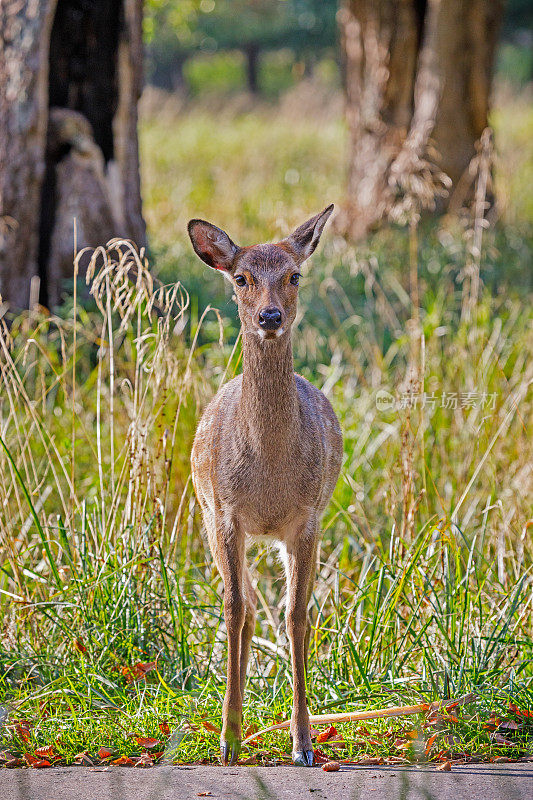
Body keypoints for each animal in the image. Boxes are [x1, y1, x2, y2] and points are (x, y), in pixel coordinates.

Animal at [189, 208, 342, 768]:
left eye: (294, 275)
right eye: (240, 278)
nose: (270, 317)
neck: (270, 475)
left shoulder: (307, 519)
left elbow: (297, 615)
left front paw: (303, 742)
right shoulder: (227, 513)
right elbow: (233, 609)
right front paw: (228, 740)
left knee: (263, 609)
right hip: (207, 515)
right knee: (246, 608)